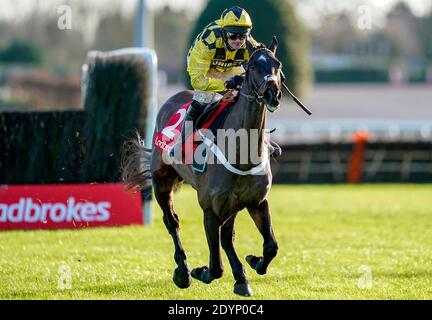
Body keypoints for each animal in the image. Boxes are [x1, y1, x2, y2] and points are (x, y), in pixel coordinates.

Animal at [121, 36, 284, 296]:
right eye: (253, 66)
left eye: (277, 65)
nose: (272, 94)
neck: (241, 154)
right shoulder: (210, 208)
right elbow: (215, 266)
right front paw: (201, 271)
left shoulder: (256, 201)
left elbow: (270, 246)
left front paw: (252, 263)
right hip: (161, 183)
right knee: (172, 222)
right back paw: (183, 271)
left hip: (231, 205)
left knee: (227, 237)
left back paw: (239, 276)